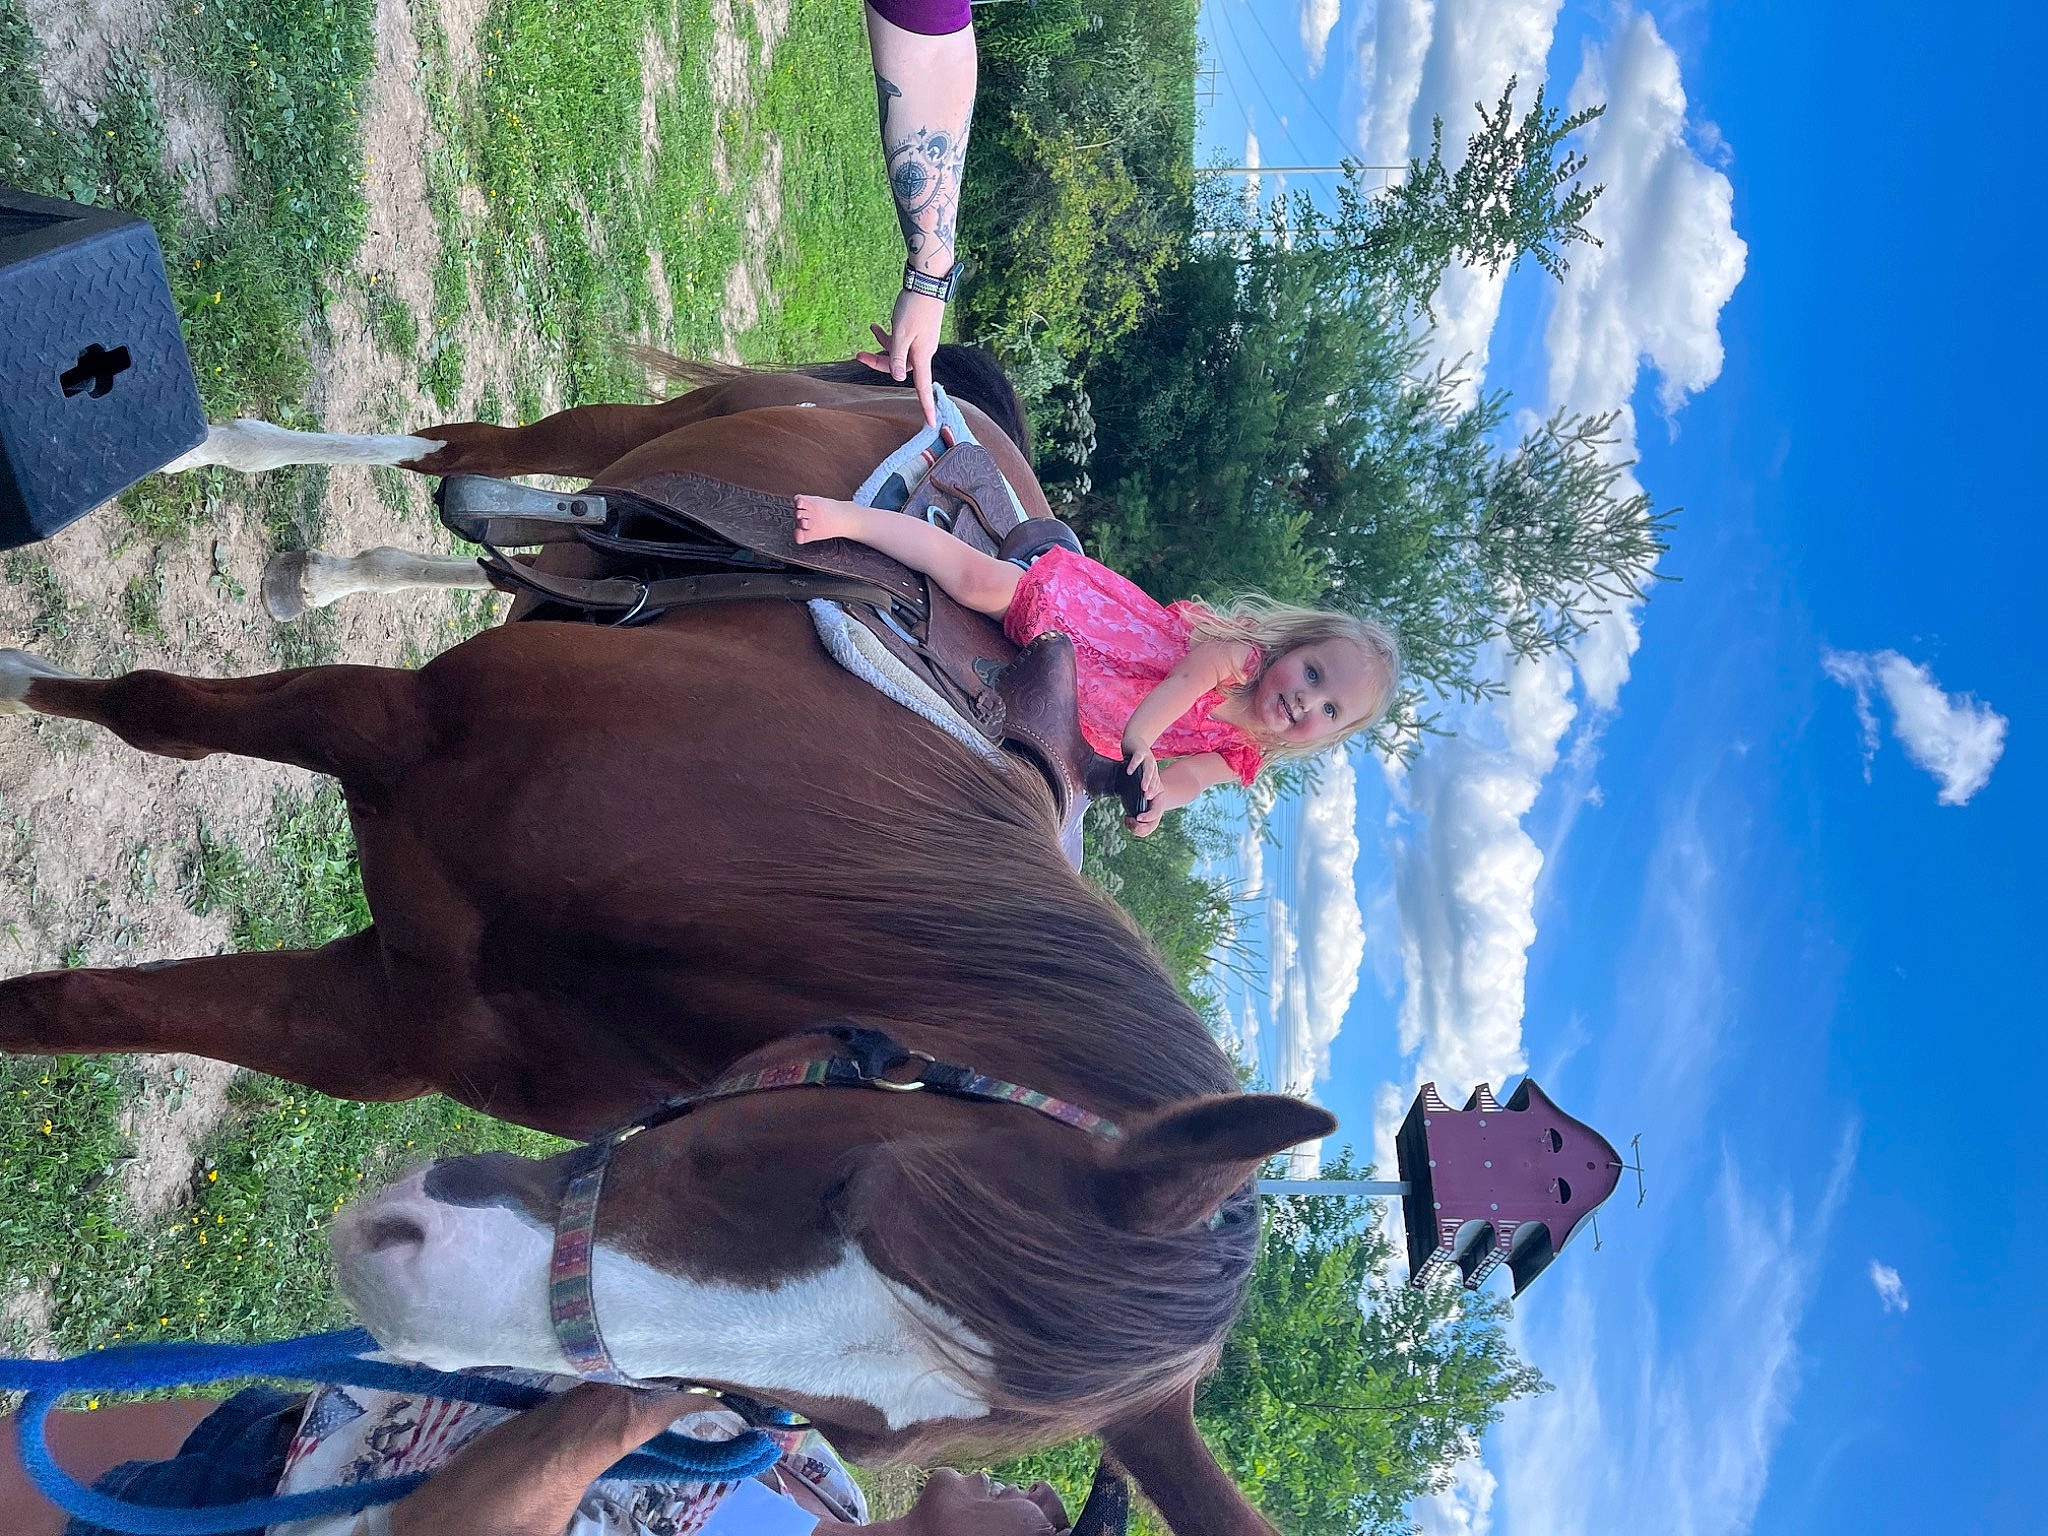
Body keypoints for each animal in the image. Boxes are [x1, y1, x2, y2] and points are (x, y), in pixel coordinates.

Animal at [0, 352, 1333, 1536]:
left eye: (818, 1429)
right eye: (844, 1174)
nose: (409, 1285)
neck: (702, 886)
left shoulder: (378, 1030)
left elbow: (64, 1014)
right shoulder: (380, 722)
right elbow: (151, 713)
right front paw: (23, 673)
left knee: (511, 531)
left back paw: (350, 563)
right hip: (644, 425)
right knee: (464, 454)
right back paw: (248, 469)